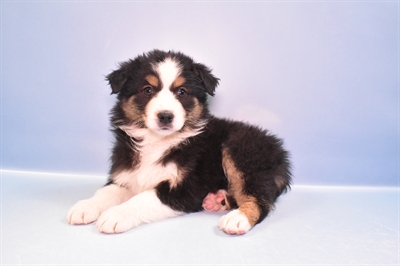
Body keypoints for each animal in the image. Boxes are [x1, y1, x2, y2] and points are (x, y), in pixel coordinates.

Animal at [65, 49, 290, 235]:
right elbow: (106, 192)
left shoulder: (186, 189)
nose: (166, 116)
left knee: (259, 198)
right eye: (147, 90)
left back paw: (237, 218)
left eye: (182, 92)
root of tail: (280, 153)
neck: (157, 141)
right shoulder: (127, 174)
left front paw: (115, 215)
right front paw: (85, 207)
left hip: (240, 150)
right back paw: (217, 200)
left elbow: (143, 198)